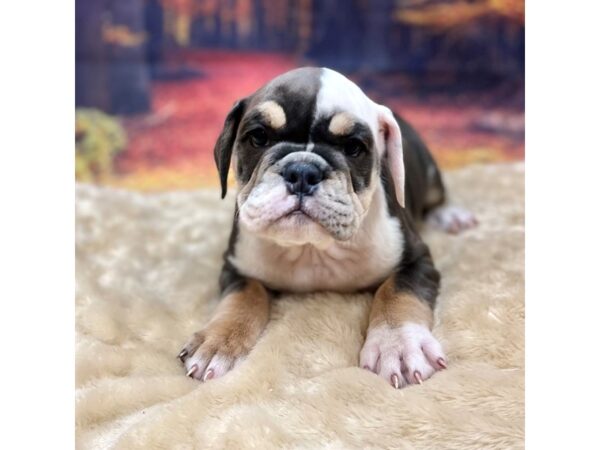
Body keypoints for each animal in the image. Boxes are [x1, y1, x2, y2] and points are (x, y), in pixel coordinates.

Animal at [176, 67, 476, 386]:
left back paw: (451, 215)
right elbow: (242, 296)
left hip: (430, 175)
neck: (312, 250)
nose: (302, 172)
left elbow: (398, 291)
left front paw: (399, 343)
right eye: (258, 137)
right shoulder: (236, 267)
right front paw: (218, 341)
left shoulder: (417, 260)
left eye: (354, 148)